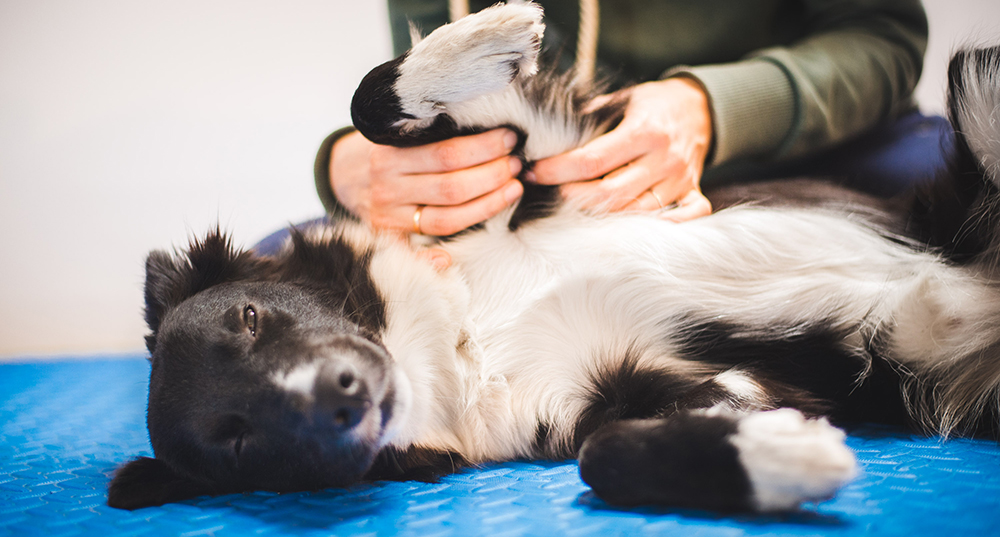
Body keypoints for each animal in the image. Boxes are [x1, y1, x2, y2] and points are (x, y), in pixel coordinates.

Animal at [109, 3, 1000, 510]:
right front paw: (779, 459)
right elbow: (606, 457)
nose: (341, 392)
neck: (468, 332)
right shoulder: (646, 393)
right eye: (237, 438)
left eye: (250, 317)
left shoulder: (547, 156)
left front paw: (490, 32)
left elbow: (371, 98)